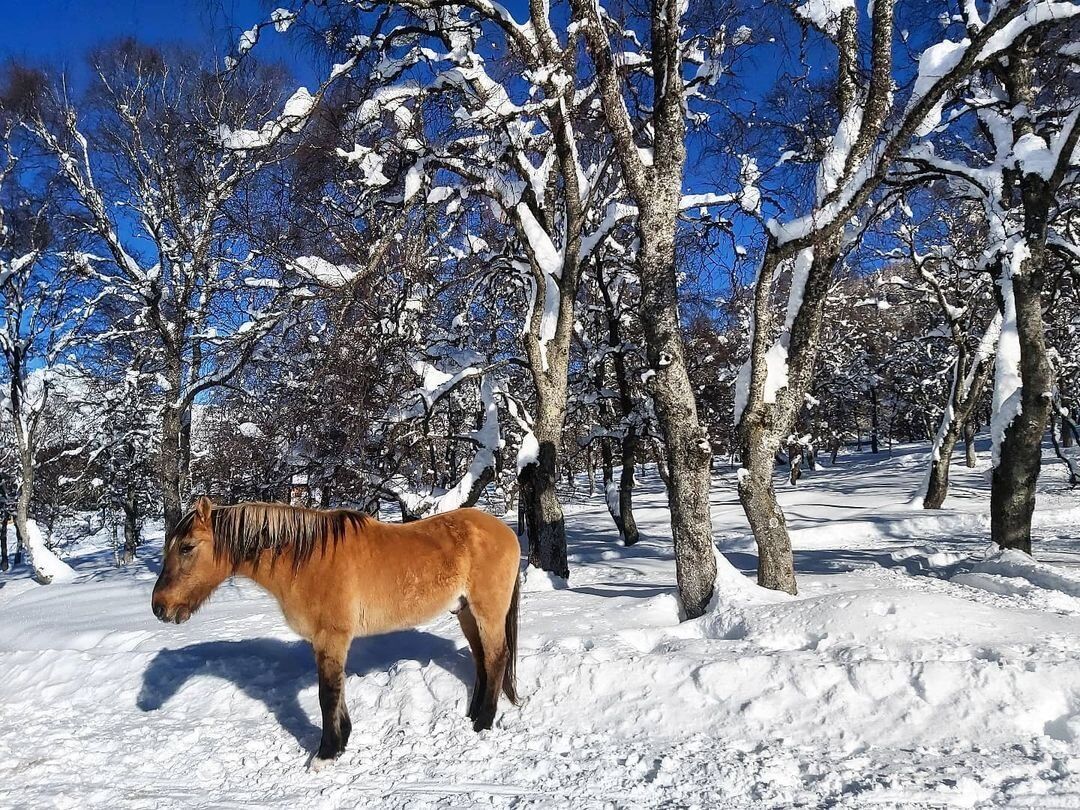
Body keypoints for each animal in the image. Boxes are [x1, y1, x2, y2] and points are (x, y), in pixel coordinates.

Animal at [152, 498, 522, 768]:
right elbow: (336, 692)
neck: (306, 560)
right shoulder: (327, 642)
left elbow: (327, 694)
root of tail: (506, 531)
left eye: (186, 547)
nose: (159, 607)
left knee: (496, 658)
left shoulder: (331, 638)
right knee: (482, 661)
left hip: (487, 611)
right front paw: (341, 742)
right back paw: (473, 715)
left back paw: (483, 723)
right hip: (466, 612)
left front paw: (325, 754)